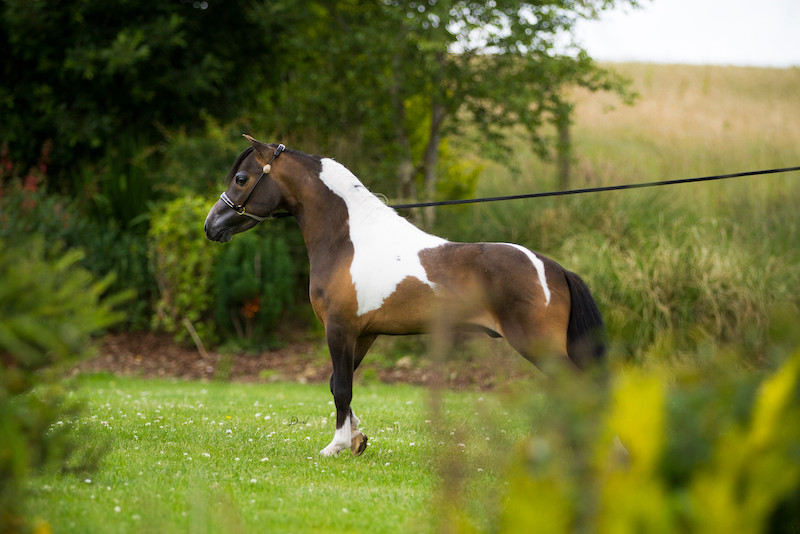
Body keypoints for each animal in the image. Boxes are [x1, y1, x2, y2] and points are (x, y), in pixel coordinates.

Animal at [204, 135, 606, 457]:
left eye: (241, 179)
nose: (212, 225)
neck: (348, 241)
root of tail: (555, 269)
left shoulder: (340, 328)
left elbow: (342, 388)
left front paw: (336, 446)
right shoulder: (364, 333)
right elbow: (338, 382)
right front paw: (357, 440)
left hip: (540, 346)